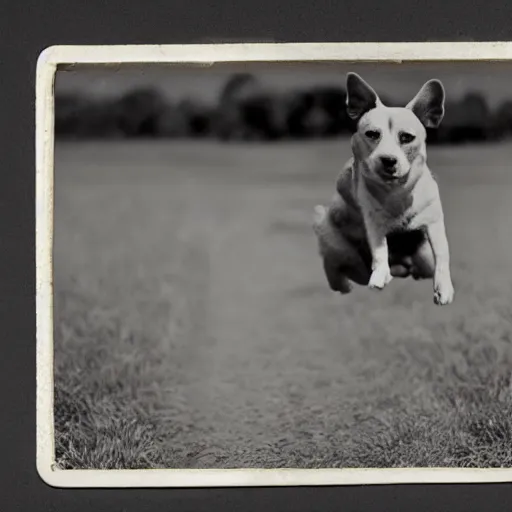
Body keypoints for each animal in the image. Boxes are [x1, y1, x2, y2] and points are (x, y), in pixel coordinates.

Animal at [314, 71, 454, 304]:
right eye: (371, 134)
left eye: (407, 137)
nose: (388, 159)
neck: (397, 190)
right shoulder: (374, 222)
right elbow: (379, 249)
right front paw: (380, 273)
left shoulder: (434, 221)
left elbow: (442, 254)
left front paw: (444, 288)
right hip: (331, 236)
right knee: (334, 265)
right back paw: (344, 284)